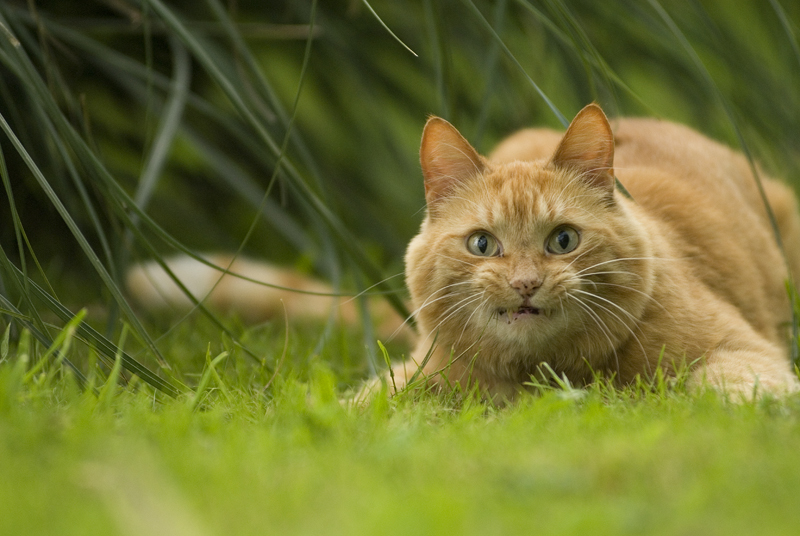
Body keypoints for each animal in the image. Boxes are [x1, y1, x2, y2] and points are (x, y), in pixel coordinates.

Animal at [388, 103, 800, 398]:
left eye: (563, 240)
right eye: (483, 244)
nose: (525, 284)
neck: (540, 373)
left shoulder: (749, 351)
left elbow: (717, 383)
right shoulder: (419, 368)